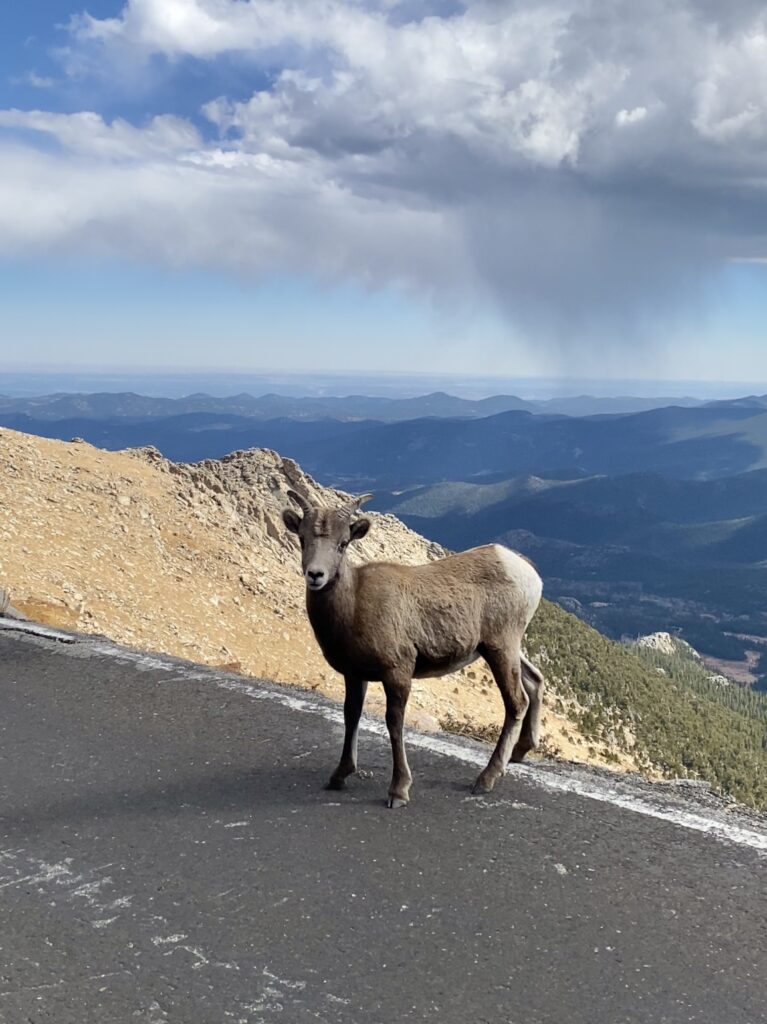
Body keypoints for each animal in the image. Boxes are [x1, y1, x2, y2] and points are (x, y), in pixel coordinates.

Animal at [282, 489, 544, 806]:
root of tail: (525, 569)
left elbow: (394, 723)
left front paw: (398, 791)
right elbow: (351, 715)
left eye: (343, 544)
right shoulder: (355, 675)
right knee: (534, 681)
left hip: (500, 648)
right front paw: (338, 777)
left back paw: (485, 780)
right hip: (505, 649)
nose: (316, 575)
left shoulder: (397, 673)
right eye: (302, 539)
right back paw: (519, 753)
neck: (354, 603)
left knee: (516, 702)